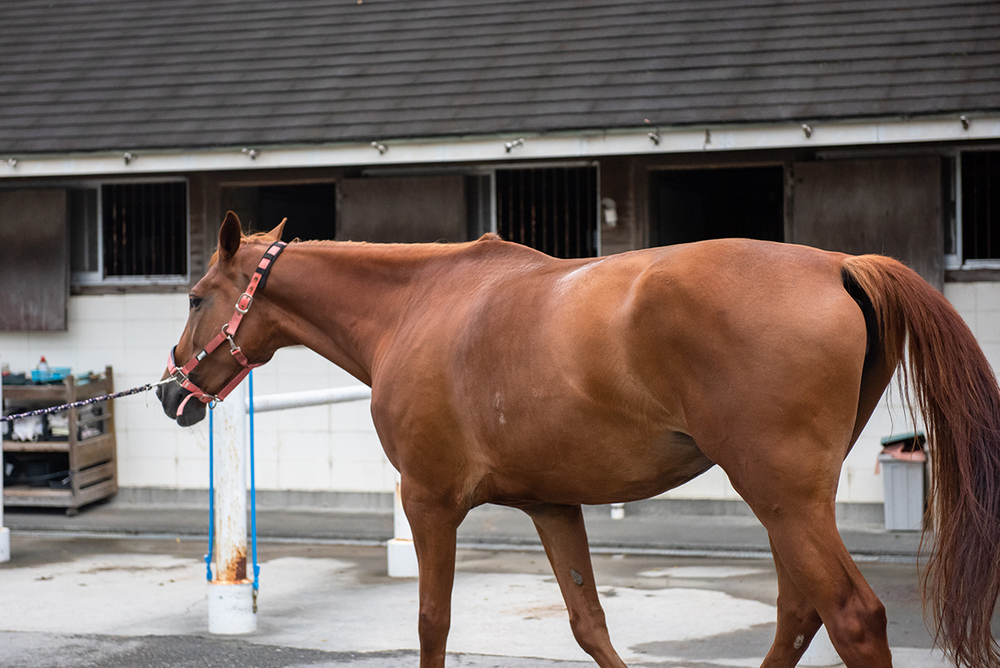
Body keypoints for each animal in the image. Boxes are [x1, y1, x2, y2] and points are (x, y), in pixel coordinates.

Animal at [158, 211, 1000, 668]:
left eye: (197, 298)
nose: (170, 390)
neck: (417, 307)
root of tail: (840, 265)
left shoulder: (428, 502)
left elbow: (432, 623)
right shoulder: (553, 506)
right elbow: (589, 624)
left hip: (782, 498)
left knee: (851, 617)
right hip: (791, 504)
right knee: (800, 615)